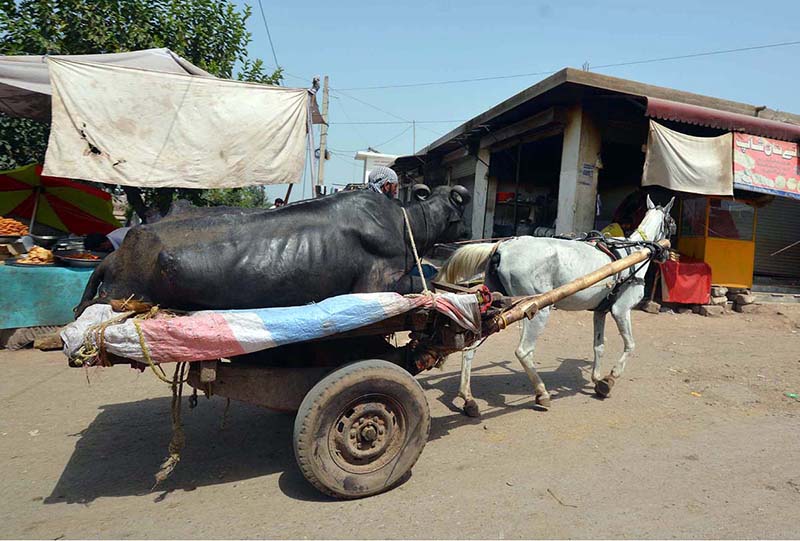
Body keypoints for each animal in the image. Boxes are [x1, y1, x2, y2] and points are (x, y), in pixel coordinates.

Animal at [76, 185, 468, 314]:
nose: (467, 231)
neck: (405, 223)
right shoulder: (374, 285)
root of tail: (119, 251)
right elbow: (424, 283)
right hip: (123, 294)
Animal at [438, 195, 676, 418]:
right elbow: (630, 345)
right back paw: (542, 393)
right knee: (523, 351)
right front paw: (609, 379)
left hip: (493, 305)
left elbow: (598, 346)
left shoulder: (600, 311)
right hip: (538, 309)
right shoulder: (621, 310)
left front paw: (596, 379)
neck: (634, 253)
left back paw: (468, 399)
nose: (667, 255)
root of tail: (502, 246)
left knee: (471, 347)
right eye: (672, 225)